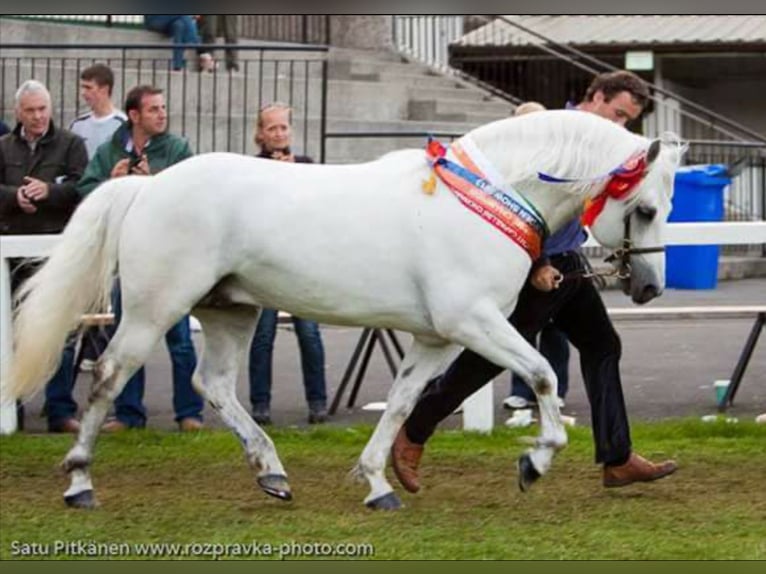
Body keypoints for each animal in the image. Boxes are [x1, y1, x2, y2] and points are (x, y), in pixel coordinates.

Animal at [9, 110, 684, 510]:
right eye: (647, 208)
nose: (650, 287)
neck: (488, 199)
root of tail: (148, 183)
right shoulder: (472, 322)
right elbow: (542, 375)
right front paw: (534, 462)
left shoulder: (438, 338)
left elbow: (406, 403)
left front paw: (381, 484)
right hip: (155, 310)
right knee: (108, 378)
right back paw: (80, 483)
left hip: (230, 310)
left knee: (214, 384)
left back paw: (273, 474)